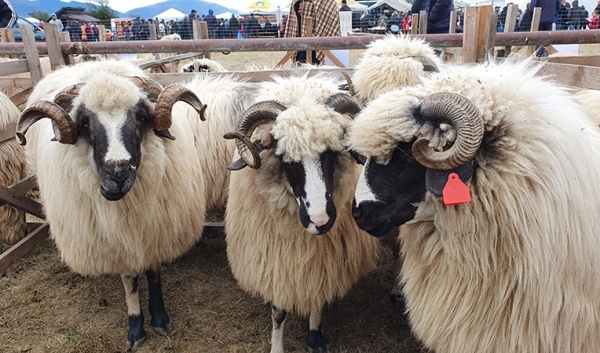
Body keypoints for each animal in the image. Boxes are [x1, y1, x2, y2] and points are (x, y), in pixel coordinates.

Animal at [15, 59, 209, 348]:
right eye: (84, 122)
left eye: (141, 117)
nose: (117, 174)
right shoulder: (118, 240)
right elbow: (130, 282)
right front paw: (136, 329)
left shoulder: (155, 229)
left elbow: (153, 273)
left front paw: (160, 319)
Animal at [225, 73, 380, 350]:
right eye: (282, 155)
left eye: (333, 151)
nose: (320, 221)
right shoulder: (277, 261)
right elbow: (278, 312)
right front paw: (276, 347)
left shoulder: (321, 262)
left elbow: (318, 295)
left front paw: (314, 336)